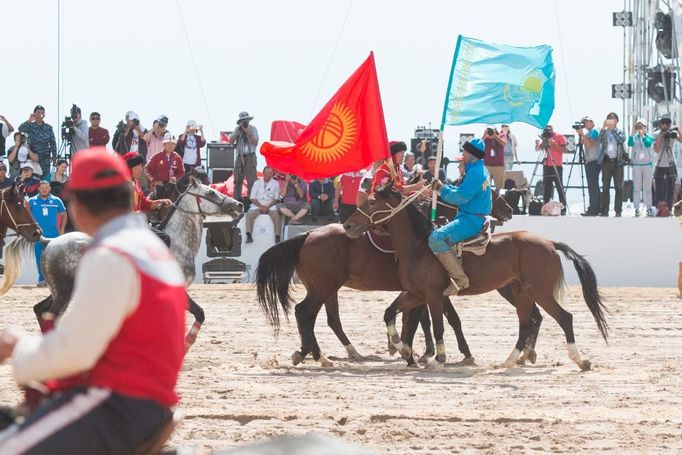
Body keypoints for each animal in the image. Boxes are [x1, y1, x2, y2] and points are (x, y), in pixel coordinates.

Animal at [342, 185, 608, 370]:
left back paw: (579, 360)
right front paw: (403, 349)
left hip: (540, 292)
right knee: (526, 323)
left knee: (564, 318)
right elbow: (390, 313)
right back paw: (510, 360)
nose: (346, 225)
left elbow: (438, 324)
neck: (418, 246)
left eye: (372, 201)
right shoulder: (415, 294)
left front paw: (438, 359)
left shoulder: (433, 295)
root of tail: (550, 243)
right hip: (523, 292)